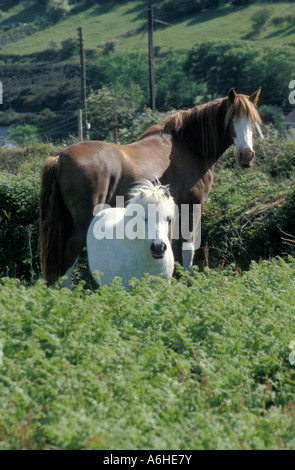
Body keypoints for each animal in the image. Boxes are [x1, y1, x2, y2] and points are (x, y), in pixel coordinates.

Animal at [40, 88, 264, 286]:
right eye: (231, 119)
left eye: (253, 121)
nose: (246, 155)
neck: (189, 146)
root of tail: (59, 156)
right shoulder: (192, 206)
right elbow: (187, 247)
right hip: (81, 222)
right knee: (68, 257)